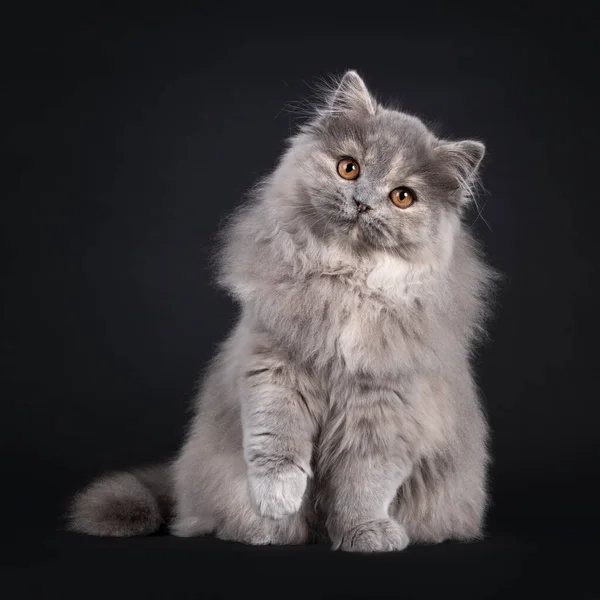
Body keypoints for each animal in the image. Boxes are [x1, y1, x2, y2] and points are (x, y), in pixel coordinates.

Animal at [67, 71, 496, 552]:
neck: (344, 280)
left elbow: (365, 482)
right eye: (349, 168)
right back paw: (264, 530)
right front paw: (278, 501)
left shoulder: (386, 404)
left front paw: (365, 532)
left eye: (402, 197)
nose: (363, 202)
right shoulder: (276, 368)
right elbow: (276, 444)